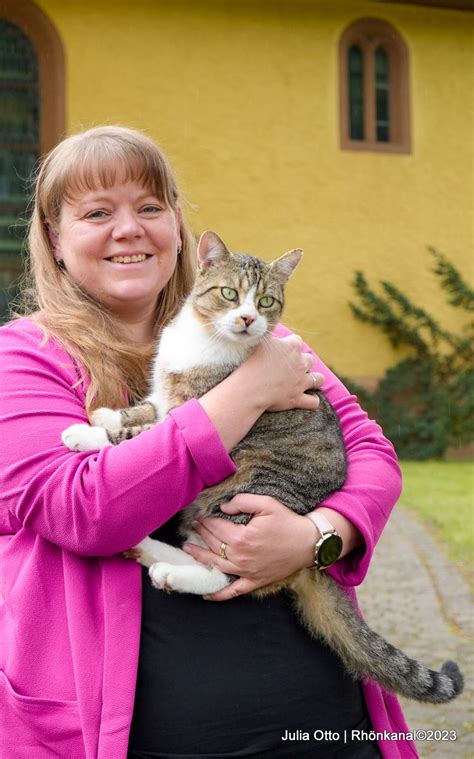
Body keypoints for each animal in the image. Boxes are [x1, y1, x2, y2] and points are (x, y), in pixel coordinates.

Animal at [62, 230, 462, 708]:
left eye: (267, 300)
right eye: (230, 294)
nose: (249, 318)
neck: (204, 339)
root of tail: (308, 566)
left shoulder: (196, 410)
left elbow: (141, 436)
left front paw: (86, 436)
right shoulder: (165, 398)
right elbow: (141, 411)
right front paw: (105, 416)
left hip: (245, 491)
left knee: (226, 574)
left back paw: (170, 571)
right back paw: (147, 550)